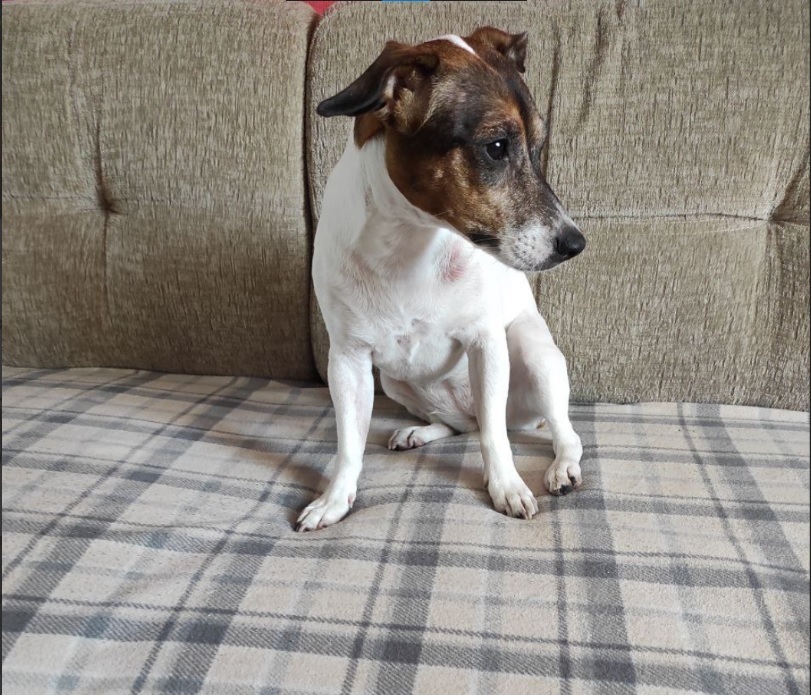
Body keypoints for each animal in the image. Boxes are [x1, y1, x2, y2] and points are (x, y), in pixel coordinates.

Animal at [297, 27, 586, 531]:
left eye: (537, 148)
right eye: (496, 147)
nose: (576, 243)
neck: (409, 241)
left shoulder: (486, 344)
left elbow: (495, 439)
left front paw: (506, 487)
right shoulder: (348, 360)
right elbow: (350, 442)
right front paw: (334, 499)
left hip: (535, 353)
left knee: (551, 431)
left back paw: (562, 467)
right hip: (393, 381)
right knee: (458, 425)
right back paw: (420, 431)